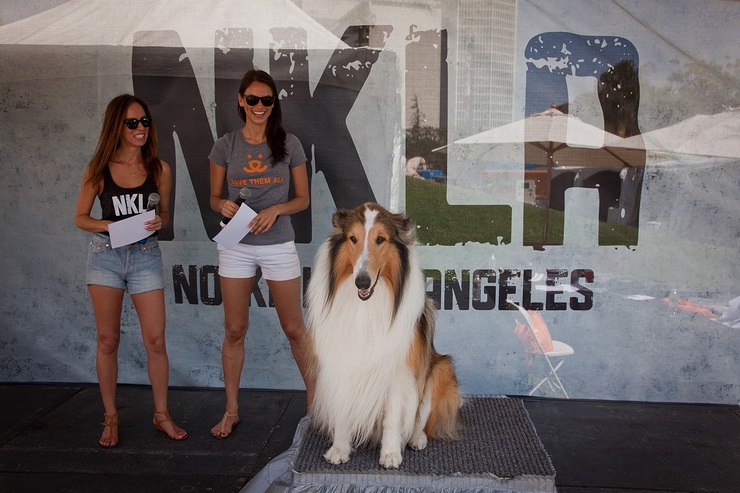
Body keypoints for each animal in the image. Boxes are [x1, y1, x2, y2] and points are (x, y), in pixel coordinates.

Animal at [304, 202, 460, 468]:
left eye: (380, 239)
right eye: (353, 238)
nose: (362, 282)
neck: (366, 306)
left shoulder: (398, 370)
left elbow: (393, 419)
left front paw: (390, 454)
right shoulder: (341, 363)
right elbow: (343, 410)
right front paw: (339, 448)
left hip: (439, 370)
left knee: (420, 419)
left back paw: (416, 439)